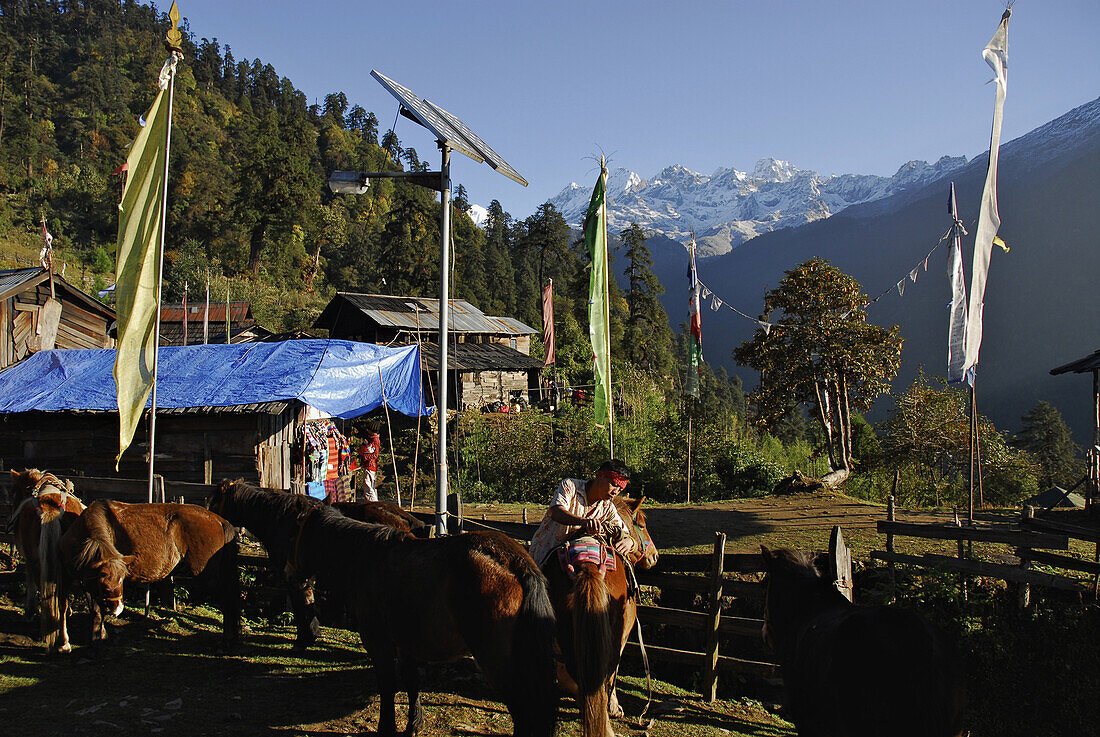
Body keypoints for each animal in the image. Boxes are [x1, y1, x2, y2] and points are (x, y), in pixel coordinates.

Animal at [6, 470, 84, 651]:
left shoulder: (28, 560)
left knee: (45, 593)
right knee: (61, 600)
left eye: (14, 492)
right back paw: (63, 641)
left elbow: (30, 584)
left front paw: (29, 612)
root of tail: (50, 509)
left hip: (36, 562)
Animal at [60, 499, 240, 651]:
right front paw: (101, 634)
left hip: (209, 578)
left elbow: (97, 612)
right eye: (106, 585)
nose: (118, 609)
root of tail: (218, 520)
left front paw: (96, 640)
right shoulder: (88, 582)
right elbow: (96, 610)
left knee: (227, 602)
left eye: (121, 581)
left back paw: (226, 640)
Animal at [209, 479, 558, 737]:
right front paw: (413, 724)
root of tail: (517, 564)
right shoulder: (406, 641)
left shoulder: (377, 639)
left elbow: (387, 684)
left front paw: (386, 727)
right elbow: (411, 681)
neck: (367, 556)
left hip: (498, 663)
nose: (291, 570)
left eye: (299, 533)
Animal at [539, 497, 655, 737]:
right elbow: (613, 675)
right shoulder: (622, 636)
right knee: (602, 675)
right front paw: (614, 707)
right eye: (643, 525)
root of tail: (587, 567)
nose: (654, 556)